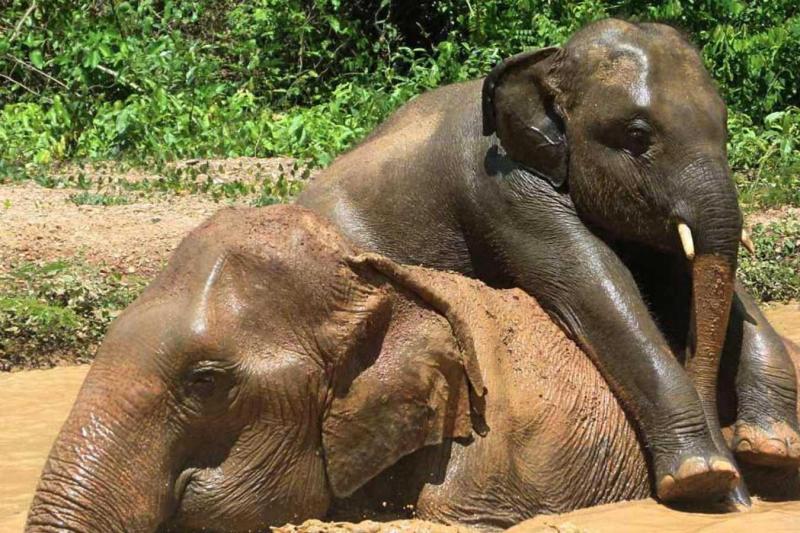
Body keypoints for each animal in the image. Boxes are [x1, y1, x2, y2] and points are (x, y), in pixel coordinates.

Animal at [297, 18, 800, 505]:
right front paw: (702, 476)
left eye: (725, 128)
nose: (741, 497)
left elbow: (680, 276)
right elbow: (598, 285)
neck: (547, 61)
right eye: (638, 136)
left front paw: (773, 446)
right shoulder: (504, 190)